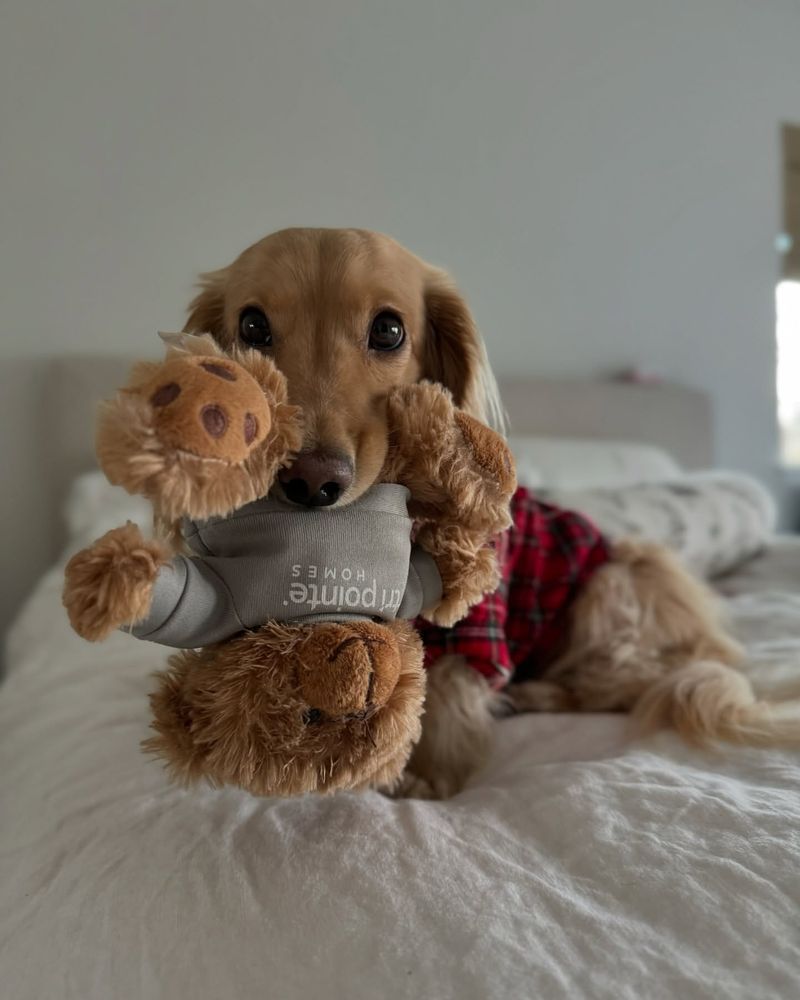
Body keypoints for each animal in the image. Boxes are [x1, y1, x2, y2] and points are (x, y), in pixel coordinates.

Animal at [183, 225, 800, 796]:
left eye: (388, 329)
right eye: (252, 327)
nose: (311, 482)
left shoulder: (477, 623)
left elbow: (449, 687)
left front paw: (428, 776)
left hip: (615, 584)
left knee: (630, 683)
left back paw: (537, 692)